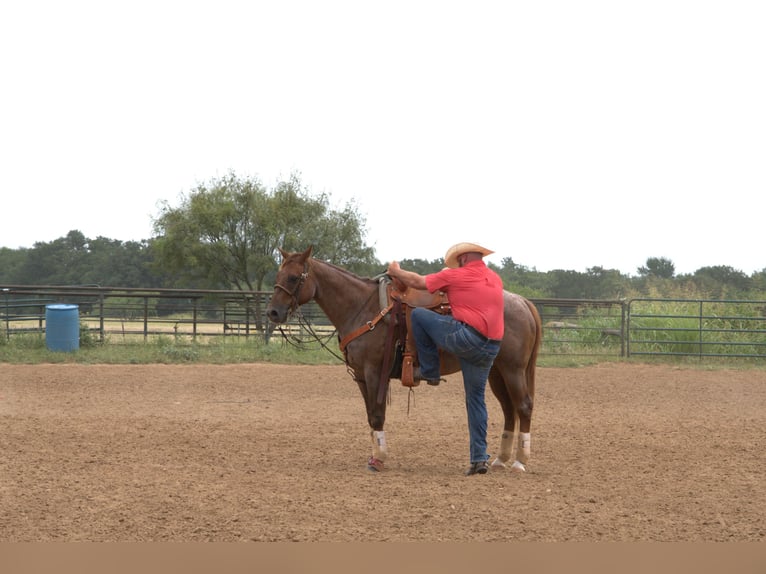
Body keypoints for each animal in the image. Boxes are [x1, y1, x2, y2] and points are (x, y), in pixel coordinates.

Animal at [266, 246, 542, 473]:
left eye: (293, 277)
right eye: (277, 276)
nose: (273, 312)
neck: (362, 308)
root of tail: (522, 302)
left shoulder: (375, 373)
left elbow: (378, 415)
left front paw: (379, 459)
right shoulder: (361, 377)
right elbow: (370, 415)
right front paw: (375, 455)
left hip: (513, 370)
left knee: (523, 406)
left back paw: (519, 461)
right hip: (495, 371)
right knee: (509, 409)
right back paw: (500, 459)